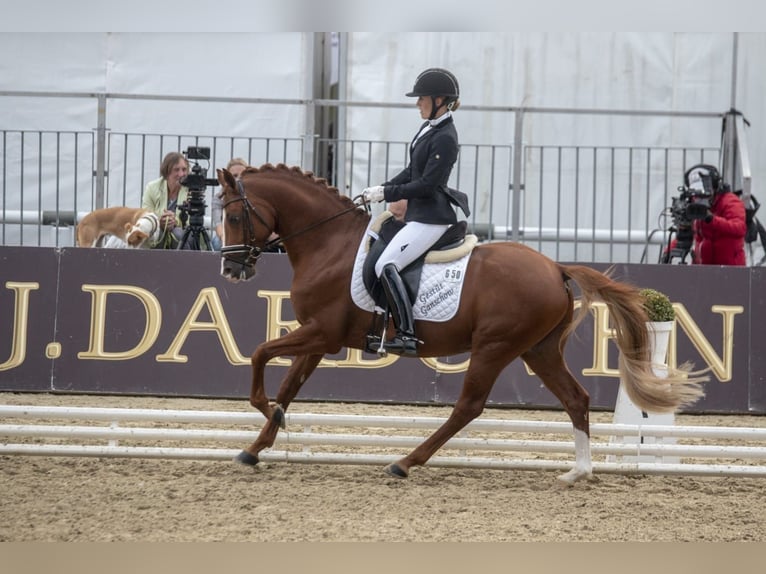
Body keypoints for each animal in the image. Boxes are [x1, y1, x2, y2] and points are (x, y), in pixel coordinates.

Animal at [216, 163, 705, 485]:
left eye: (235, 216)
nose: (231, 270)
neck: (328, 244)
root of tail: (555, 267)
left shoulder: (323, 332)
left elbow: (260, 356)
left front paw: (270, 416)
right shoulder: (318, 338)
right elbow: (287, 386)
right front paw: (257, 446)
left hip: (495, 346)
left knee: (468, 406)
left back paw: (405, 462)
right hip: (539, 349)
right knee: (576, 398)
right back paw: (577, 472)